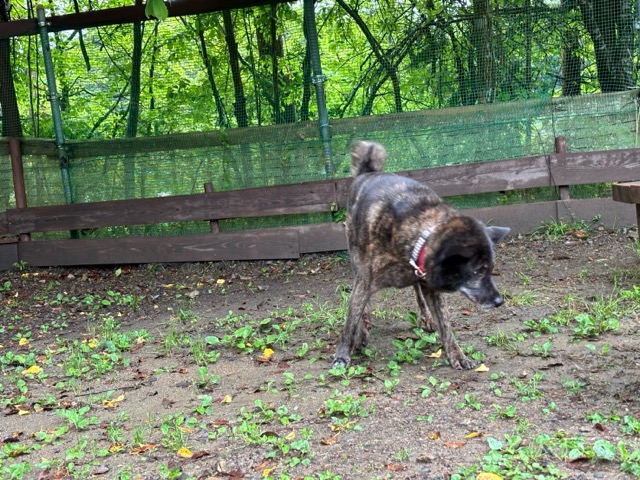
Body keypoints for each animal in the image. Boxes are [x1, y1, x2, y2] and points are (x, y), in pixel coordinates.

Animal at [332, 141, 510, 370]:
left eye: (490, 270)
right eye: (478, 271)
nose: (499, 301)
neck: (420, 234)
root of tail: (368, 172)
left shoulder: (429, 285)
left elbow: (446, 325)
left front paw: (458, 356)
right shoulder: (364, 282)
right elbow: (352, 319)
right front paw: (343, 354)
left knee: (417, 292)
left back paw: (426, 318)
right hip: (356, 260)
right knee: (364, 303)